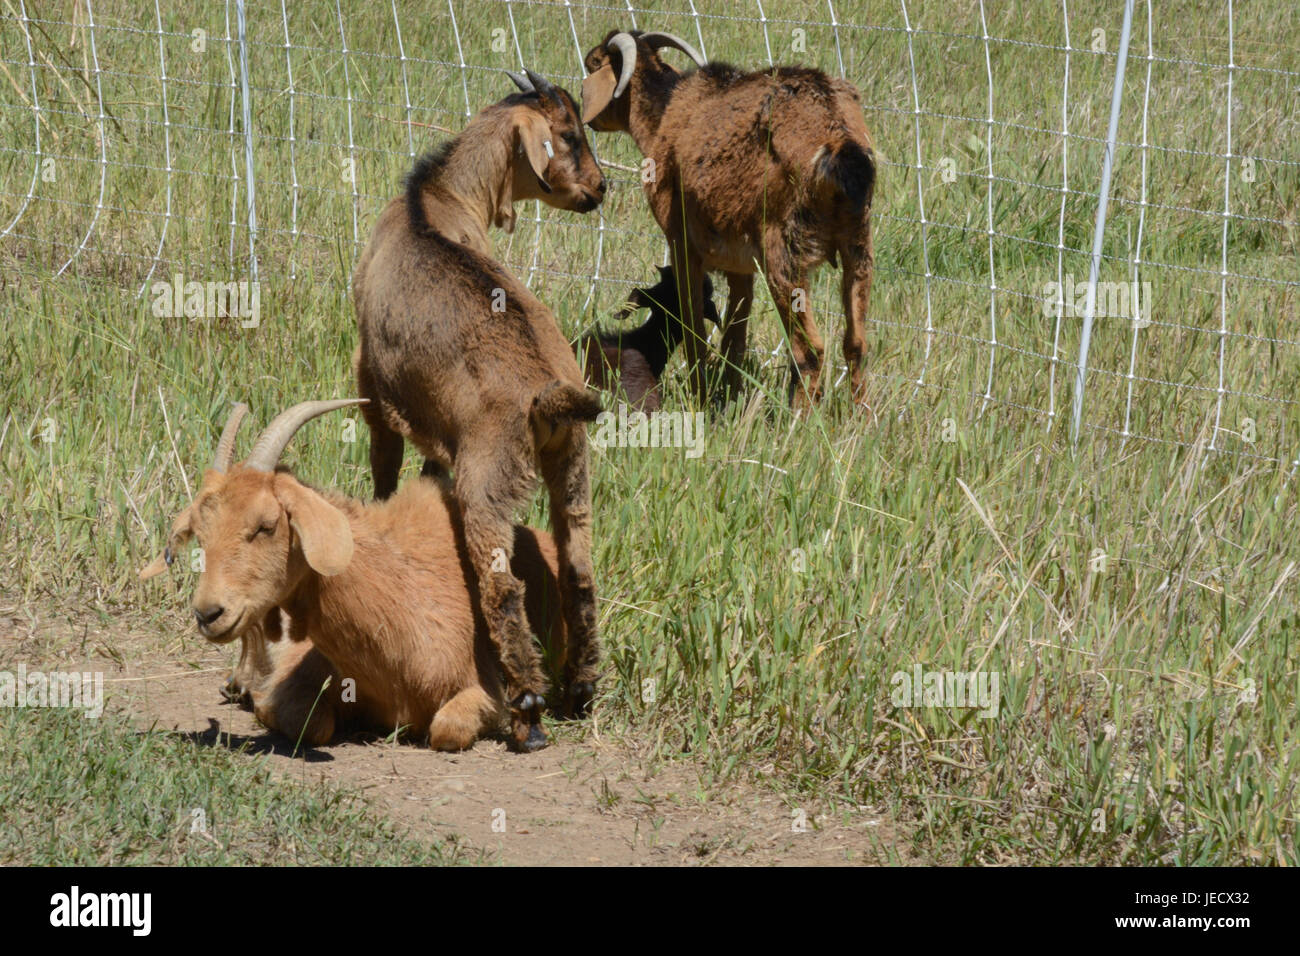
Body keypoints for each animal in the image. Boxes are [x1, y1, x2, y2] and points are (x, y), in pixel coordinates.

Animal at [142, 400, 569, 749]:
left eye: (266, 525)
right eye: (201, 534)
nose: (208, 613)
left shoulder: (483, 689)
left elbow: (447, 730)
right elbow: (310, 724)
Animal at [351, 70, 603, 749]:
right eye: (570, 135)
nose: (601, 188)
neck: (432, 199)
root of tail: (547, 390)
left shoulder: (371, 383)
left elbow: (385, 466)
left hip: (489, 478)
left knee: (502, 583)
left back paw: (529, 709)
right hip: (572, 462)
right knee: (579, 566)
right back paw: (581, 688)